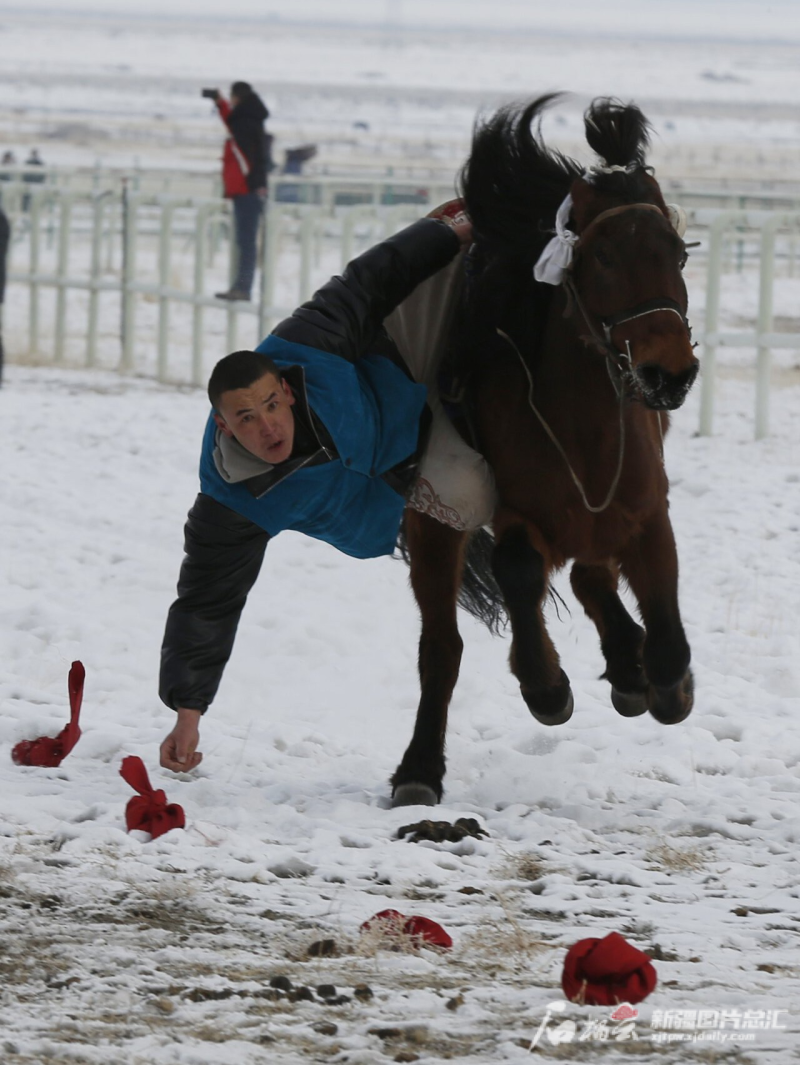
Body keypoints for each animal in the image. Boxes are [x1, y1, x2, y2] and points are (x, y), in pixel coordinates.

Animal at [392, 95, 698, 800]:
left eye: (677, 253)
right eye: (604, 256)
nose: (669, 372)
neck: (584, 425)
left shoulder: (645, 508)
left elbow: (665, 616)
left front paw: (662, 680)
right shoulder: (516, 511)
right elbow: (518, 569)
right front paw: (547, 686)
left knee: (591, 576)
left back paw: (630, 666)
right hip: (433, 521)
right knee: (442, 647)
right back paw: (419, 769)